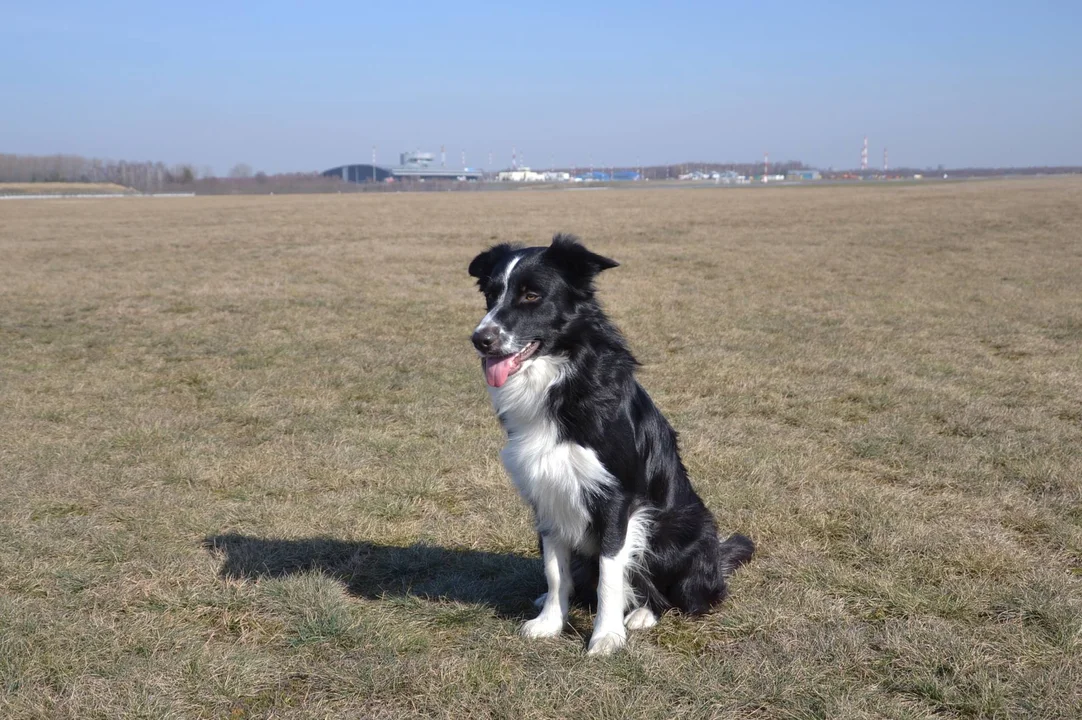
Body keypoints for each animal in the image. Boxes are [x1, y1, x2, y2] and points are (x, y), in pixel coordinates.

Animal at [469, 232, 757, 653]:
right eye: (490, 295)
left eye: (532, 295)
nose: (480, 339)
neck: (563, 377)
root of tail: (716, 559)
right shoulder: (547, 492)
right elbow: (555, 570)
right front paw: (550, 622)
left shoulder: (617, 499)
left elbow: (610, 574)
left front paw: (606, 635)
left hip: (678, 531)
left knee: (677, 596)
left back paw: (643, 614)